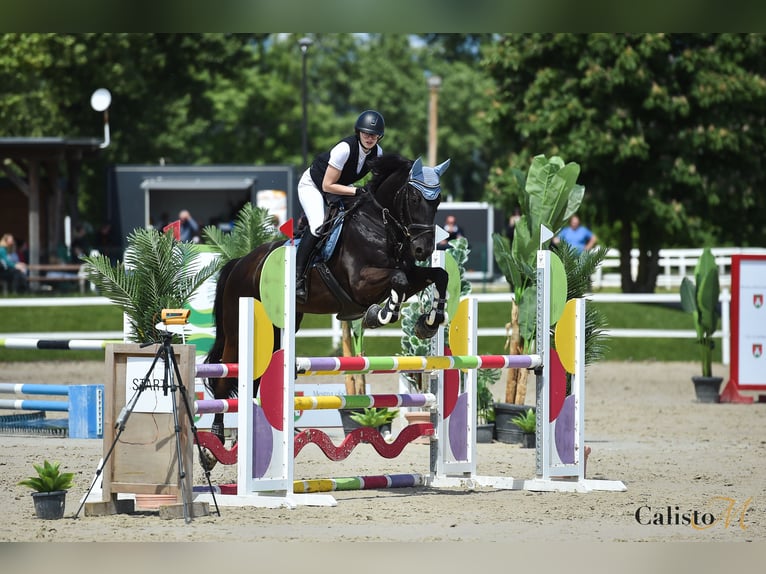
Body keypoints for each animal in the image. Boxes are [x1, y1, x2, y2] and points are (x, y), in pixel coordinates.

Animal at [203, 153, 451, 452]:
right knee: (224, 380)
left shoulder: (411, 272)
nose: (423, 250)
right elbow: (398, 280)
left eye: (437, 201)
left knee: (253, 381)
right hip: (238, 331)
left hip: (276, 329)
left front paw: (429, 322)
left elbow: (438, 275)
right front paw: (381, 314)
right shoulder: (360, 283)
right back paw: (214, 443)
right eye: (414, 198)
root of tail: (240, 263)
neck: (379, 226)